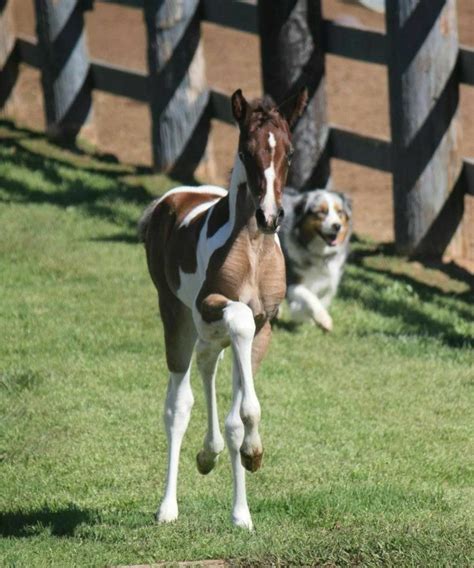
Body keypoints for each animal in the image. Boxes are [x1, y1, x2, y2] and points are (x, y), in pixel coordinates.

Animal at [139, 87, 306, 528]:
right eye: (246, 151)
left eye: (290, 152)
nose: (269, 217)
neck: (252, 250)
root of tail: (171, 197)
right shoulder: (211, 305)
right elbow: (239, 319)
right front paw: (247, 455)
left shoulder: (267, 322)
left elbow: (238, 419)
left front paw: (246, 482)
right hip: (176, 315)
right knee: (178, 404)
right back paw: (168, 507)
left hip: (206, 332)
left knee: (208, 360)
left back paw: (211, 458)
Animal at [282, 189, 352, 330]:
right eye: (321, 212)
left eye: (340, 212)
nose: (337, 226)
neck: (319, 254)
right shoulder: (290, 282)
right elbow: (309, 298)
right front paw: (323, 319)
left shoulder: (330, 281)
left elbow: (325, 298)